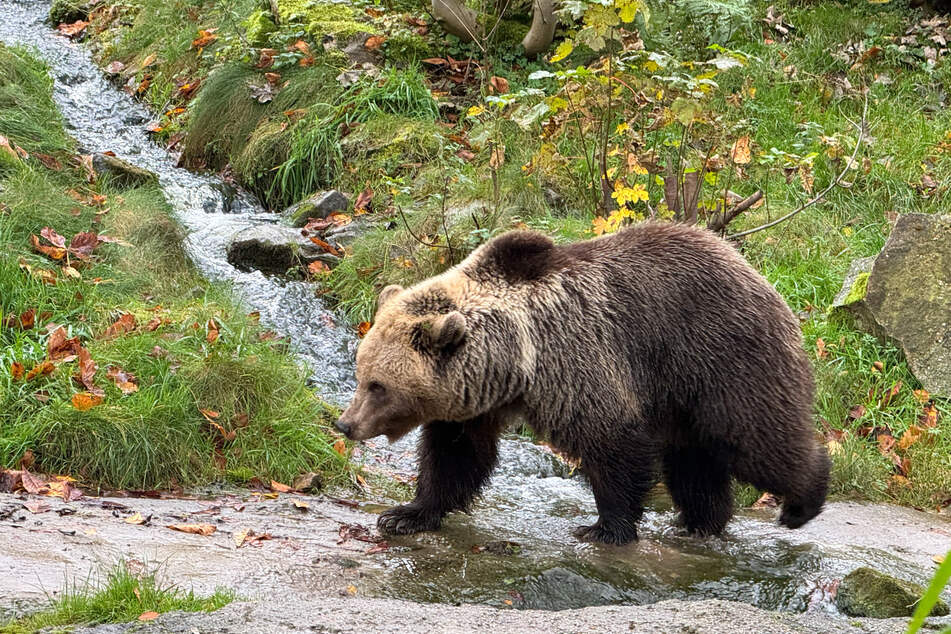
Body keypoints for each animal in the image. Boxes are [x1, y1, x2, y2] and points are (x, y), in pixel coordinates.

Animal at [338, 222, 828, 544]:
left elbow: (612, 441)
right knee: (694, 458)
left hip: (721, 358)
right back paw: (698, 521)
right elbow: (455, 456)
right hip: (681, 393)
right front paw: (405, 514)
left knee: (755, 439)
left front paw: (604, 527)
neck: (514, 361)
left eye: (378, 385)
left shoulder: (577, 359)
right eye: (361, 374)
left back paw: (801, 501)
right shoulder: (476, 401)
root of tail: (759, 275)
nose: (345, 424)